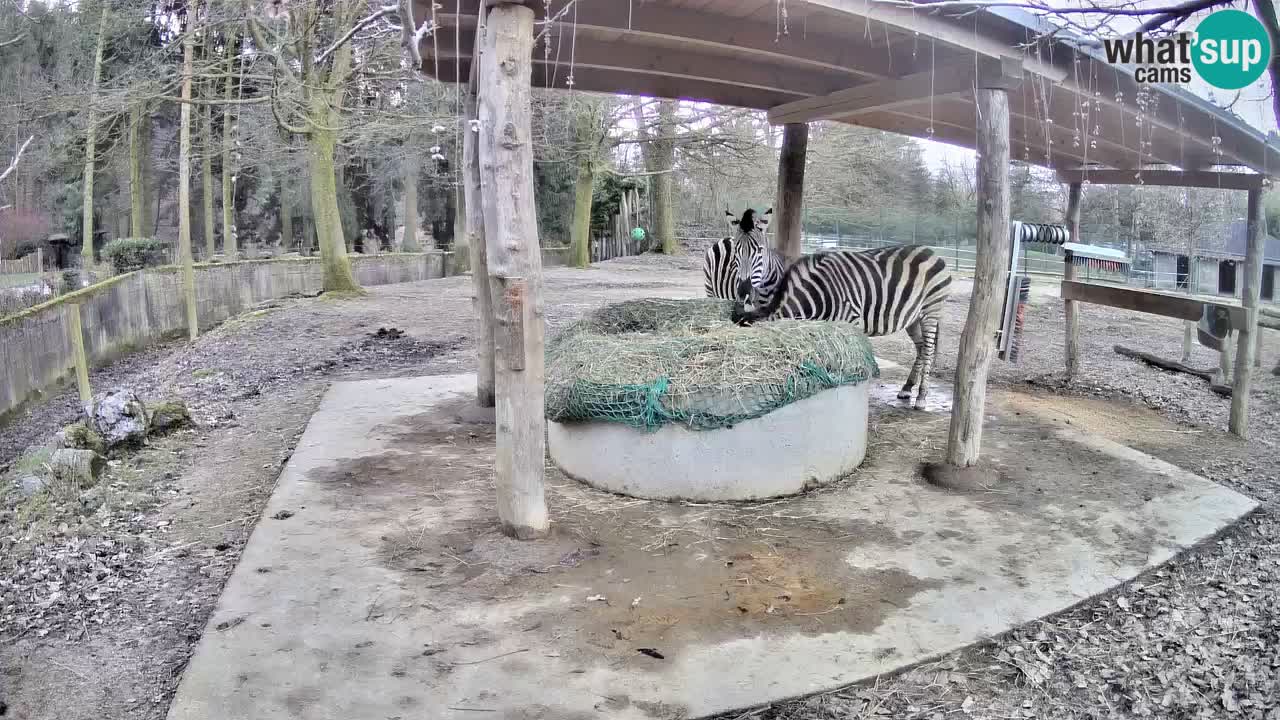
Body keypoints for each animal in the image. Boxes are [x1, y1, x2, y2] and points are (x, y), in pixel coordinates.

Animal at [732, 243, 952, 407]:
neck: (819, 293)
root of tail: (931, 251)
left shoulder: (850, 320)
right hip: (913, 318)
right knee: (921, 348)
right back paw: (907, 388)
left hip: (931, 310)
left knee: (928, 350)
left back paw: (921, 397)